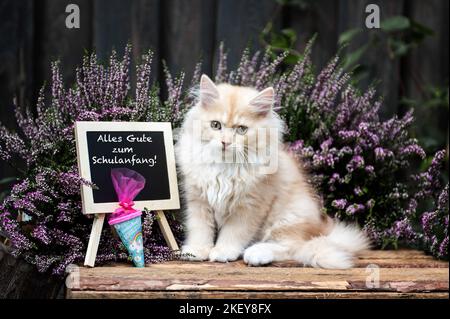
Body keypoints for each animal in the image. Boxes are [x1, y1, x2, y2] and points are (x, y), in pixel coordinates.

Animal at [176, 75, 370, 270]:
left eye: (241, 129)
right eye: (215, 125)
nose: (225, 142)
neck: (225, 166)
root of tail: (322, 229)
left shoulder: (250, 205)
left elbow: (233, 233)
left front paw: (223, 251)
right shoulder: (198, 201)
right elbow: (200, 230)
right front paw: (196, 250)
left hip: (288, 216)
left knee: (294, 246)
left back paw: (257, 253)